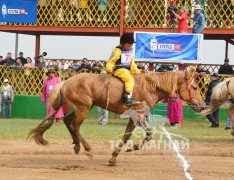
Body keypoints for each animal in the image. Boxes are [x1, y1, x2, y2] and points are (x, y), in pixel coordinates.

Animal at [28, 66, 205, 166]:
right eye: (195, 87)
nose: (202, 105)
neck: (151, 86)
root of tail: (65, 82)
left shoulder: (134, 117)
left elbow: (126, 136)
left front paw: (113, 158)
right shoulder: (139, 115)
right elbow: (149, 134)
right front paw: (133, 147)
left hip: (82, 107)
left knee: (67, 121)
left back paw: (77, 146)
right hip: (83, 109)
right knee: (75, 126)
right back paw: (87, 148)